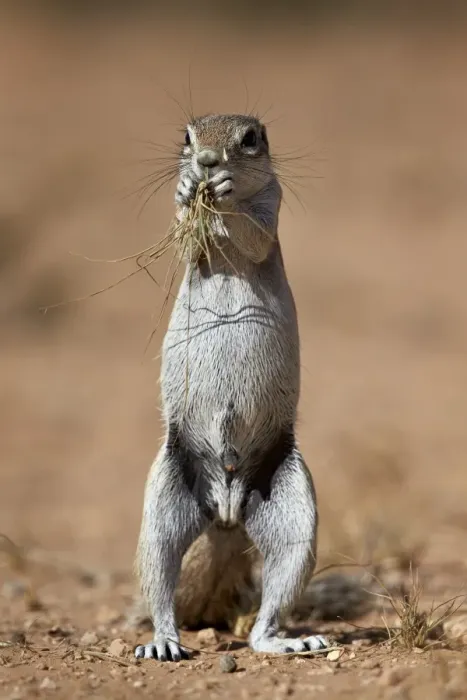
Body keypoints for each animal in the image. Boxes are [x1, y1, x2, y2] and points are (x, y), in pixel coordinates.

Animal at [133, 114, 370, 662]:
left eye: (250, 139)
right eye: (187, 137)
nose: (206, 162)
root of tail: (225, 513)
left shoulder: (271, 207)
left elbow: (255, 234)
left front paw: (220, 191)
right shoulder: (195, 245)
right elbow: (187, 237)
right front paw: (186, 192)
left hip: (294, 512)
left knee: (272, 602)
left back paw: (288, 640)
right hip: (162, 503)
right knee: (159, 573)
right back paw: (163, 641)